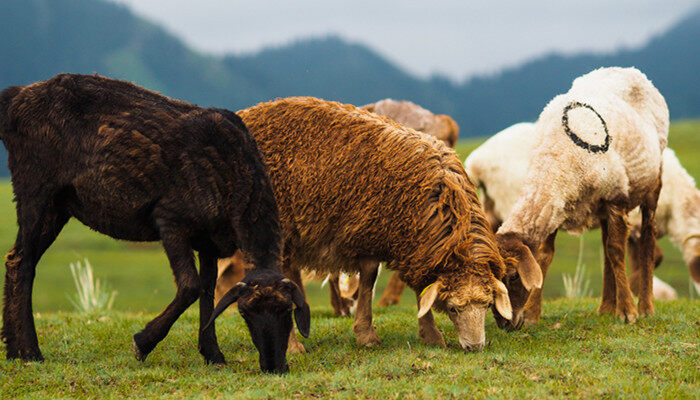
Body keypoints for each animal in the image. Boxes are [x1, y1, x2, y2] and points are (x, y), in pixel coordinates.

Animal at [0, 72, 308, 376]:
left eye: (287, 310)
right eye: (244, 312)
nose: (274, 367)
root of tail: (16, 98)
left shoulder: (209, 240)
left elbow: (207, 293)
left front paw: (213, 354)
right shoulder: (170, 220)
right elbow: (190, 287)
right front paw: (142, 343)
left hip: (59, 204)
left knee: (19, 260)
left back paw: (14, 349)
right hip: (36, 187)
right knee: (21, 261)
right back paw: (29, 351)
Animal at [208, 97, 516, 354]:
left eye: (487, 304)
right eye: (452, 309)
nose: (475, 347)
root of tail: (245, 113)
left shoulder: (383, 237)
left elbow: (375, 282)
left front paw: (373, 334)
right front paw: (427, 334)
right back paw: (292, 346)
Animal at [464, 68, 668, 328]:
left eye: (513, 277)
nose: (505, 324)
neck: (556, 158)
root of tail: (630, 70)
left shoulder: (616, 197)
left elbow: (616, 252)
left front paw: (628, 312)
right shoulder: (555, 204)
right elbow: (545, 255)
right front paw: (532, 314)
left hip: (653, 181)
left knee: (646, 238)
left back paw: (645, 307)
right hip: (600, 205)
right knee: (605, 245)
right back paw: (605, 307)